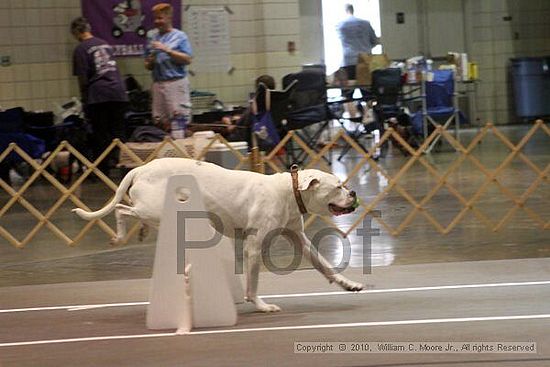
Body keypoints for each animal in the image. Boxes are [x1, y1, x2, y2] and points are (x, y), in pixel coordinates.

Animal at [74, 158, 366, 314]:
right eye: (338, 186)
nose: (353, 193)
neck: (288, 191)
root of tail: (141, 169)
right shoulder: (253, 246)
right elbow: (252, 283)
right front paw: (260, 305)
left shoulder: (299, 239)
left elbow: (324, 265)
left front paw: (349, 284)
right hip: (152, 207)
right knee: (122, 210)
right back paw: (119, 235)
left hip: (157, 211)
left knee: (130, 212)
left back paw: (140, 231)